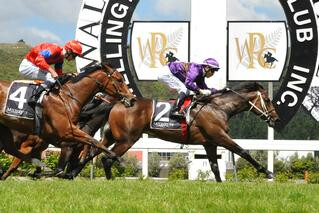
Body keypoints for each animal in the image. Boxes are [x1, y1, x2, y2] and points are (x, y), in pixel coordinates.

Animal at [0, 63, 134, 163]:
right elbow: (93, 141)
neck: (68, 97)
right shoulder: (66, 131)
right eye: (119, 80)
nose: (132, 99)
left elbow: (90, 141)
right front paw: (117, 158)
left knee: (9, 149)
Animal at [68, 82, 280, 181]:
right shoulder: (220, 136)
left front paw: (220, 185)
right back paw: (110, 180)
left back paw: (71, 174)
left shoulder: (209, 142)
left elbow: (214, 166)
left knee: (92, 152)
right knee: (106, 158)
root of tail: (118, 102)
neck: (218, 108)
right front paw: (268, 172)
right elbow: (243, 151)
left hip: (112, 136)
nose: (276, 119)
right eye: (268, 100)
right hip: (128, 139)